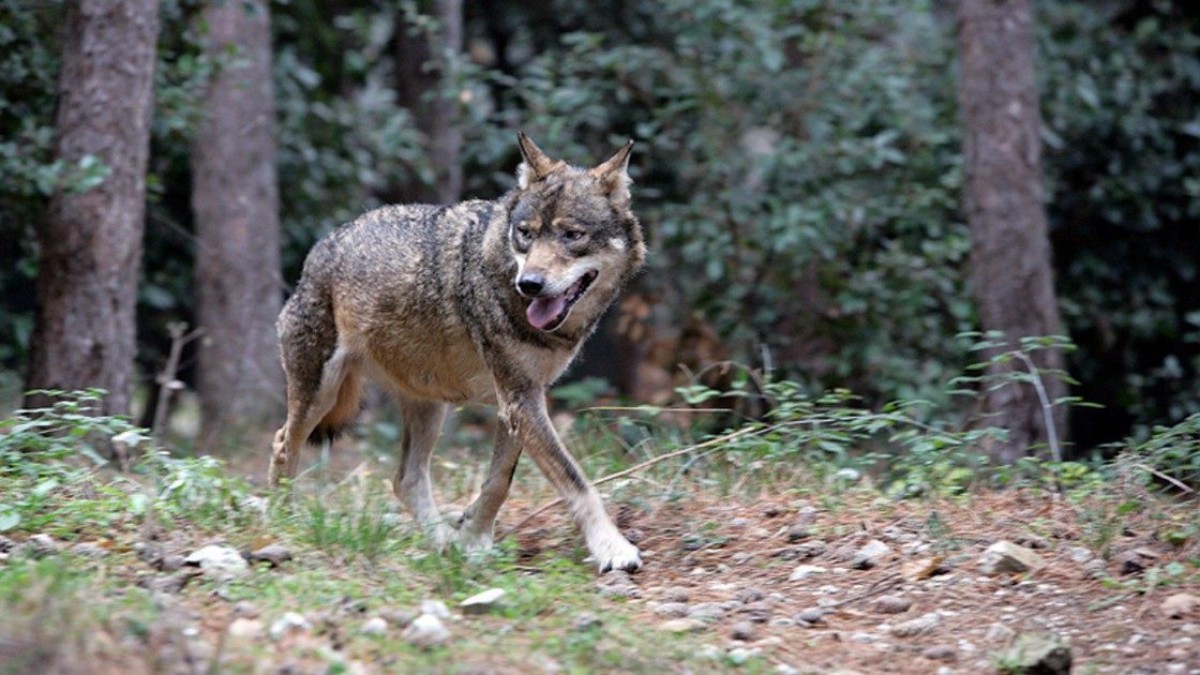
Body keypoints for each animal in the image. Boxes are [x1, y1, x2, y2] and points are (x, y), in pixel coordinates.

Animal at [268, 133, 645, 573]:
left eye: (572, 235)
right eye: (526, 233)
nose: (529, 284)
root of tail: (323, 246)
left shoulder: (519, 401)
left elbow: (498, 482)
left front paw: (471, 539)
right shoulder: (519, 400)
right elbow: (576, 479)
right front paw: (613, 548)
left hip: (430, 407)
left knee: (406, 480)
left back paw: (442, 543)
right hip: (321, 394)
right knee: (283, 444)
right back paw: (282, 520)